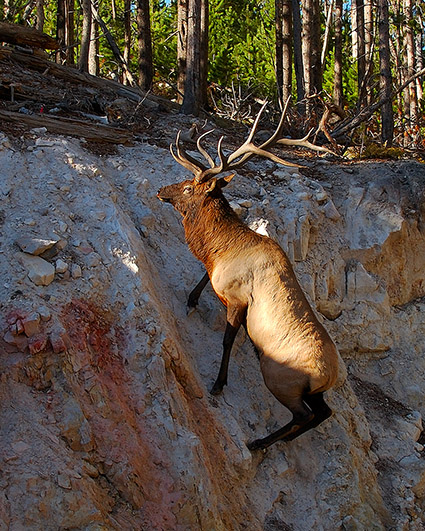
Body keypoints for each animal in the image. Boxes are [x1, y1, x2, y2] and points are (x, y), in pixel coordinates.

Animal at [157, 102, 340, 450]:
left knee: (303, 415)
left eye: (188, 186)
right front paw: (191, 299)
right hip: (315, 393)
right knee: (324, 412)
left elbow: (228, 340)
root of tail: (330, 376)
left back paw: (260, 442)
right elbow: (205, 277)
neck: (223, 248)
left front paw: (218, 383)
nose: (161, 190)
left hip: (280, 379)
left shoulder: (238, 300)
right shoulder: (218, 274)